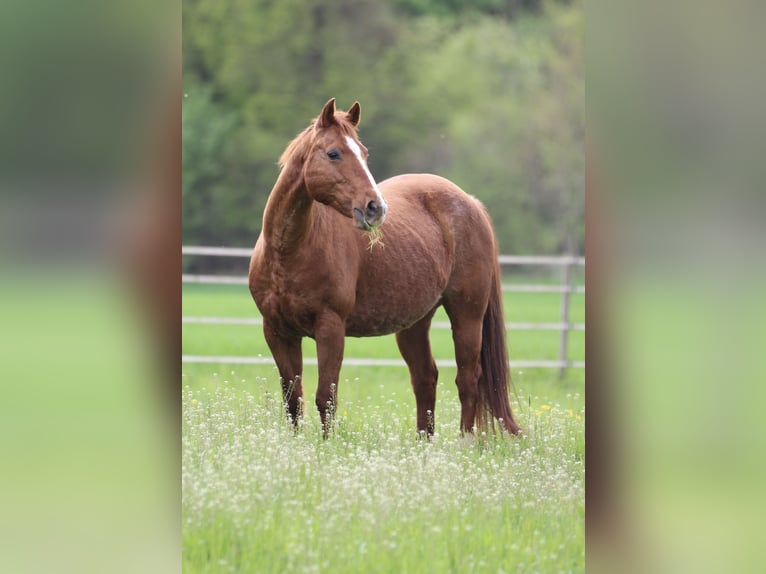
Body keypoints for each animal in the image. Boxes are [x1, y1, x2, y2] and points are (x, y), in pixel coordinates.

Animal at [249, 98, 520, 436]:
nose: (375, 208)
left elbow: (326, 398)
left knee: (467, 381)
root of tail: (470, 202)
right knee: (425, 379)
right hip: (414, 324)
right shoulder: (277, 331)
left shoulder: (330, 328)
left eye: (364, 153)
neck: (288, 252)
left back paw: (464, 443)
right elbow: (293, 400)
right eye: (334, 153)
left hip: (467, 315)